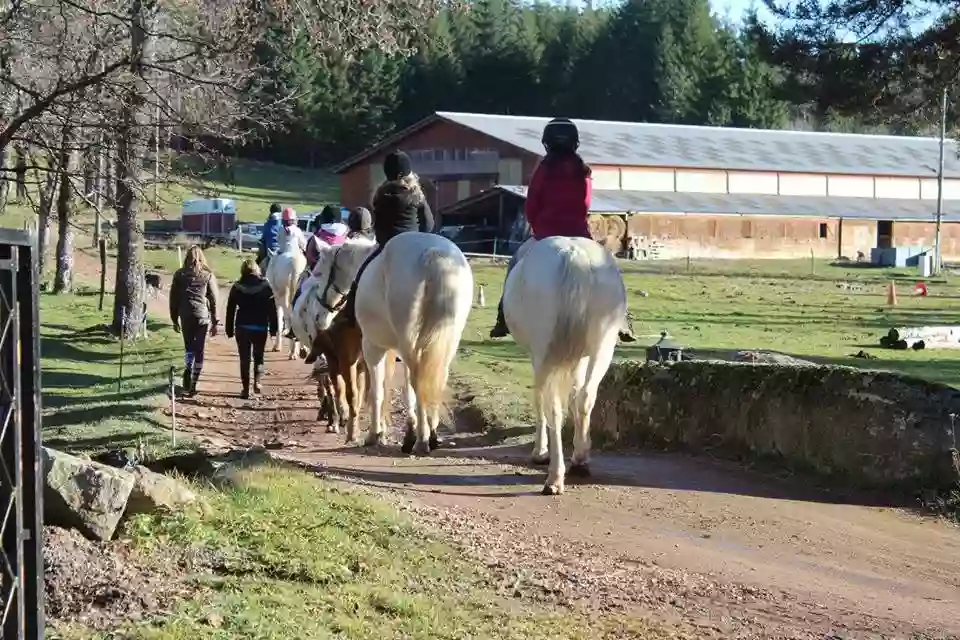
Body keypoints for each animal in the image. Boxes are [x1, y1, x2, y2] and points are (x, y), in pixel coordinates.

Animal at [264, 225, 306, 358]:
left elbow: (279, 318)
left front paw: (277, 346)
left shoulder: (277, 297)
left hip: (285, 295)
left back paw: (293, 351)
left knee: (290, 316)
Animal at [356, 232, 472, 452]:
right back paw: (432, 434)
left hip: (407, 342)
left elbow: (378, 391)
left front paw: (376, 434)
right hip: (447, 340)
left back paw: (421, 439)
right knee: (434, 379)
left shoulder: (373, 347)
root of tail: (434, 254)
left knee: (417, 382)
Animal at [502, 236, 632, 496]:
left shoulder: (536, 357)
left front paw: (540, 451)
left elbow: (540, 401)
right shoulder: (580, 358)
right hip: (602, 346)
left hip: (545, 353)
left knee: (552, 407)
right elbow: (575, 396)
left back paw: (554, 476)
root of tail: (575, 255)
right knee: (585, 397)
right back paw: (580, 461)